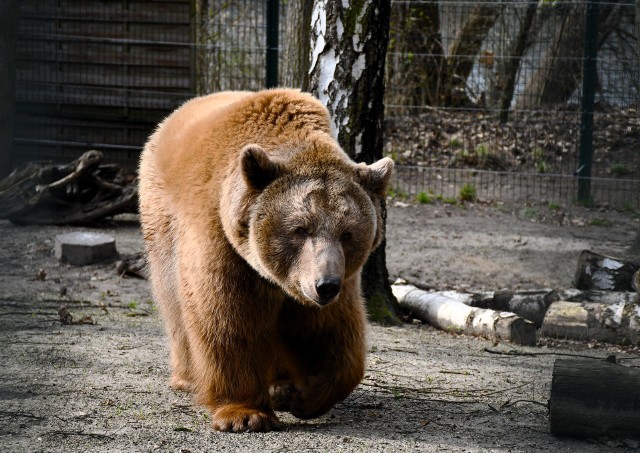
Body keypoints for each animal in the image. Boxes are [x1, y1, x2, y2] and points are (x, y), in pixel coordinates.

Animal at [138, 87, 392, 430]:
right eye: (300, 228)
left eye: (348, 233)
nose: (325, 285)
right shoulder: (222, 241)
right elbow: (228, 319)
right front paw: (244, 413)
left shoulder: (334, 277)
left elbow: (329, 333)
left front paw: (305, 396)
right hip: (162, 222)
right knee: (173, 301)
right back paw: (188, 377)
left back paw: (280, 386)